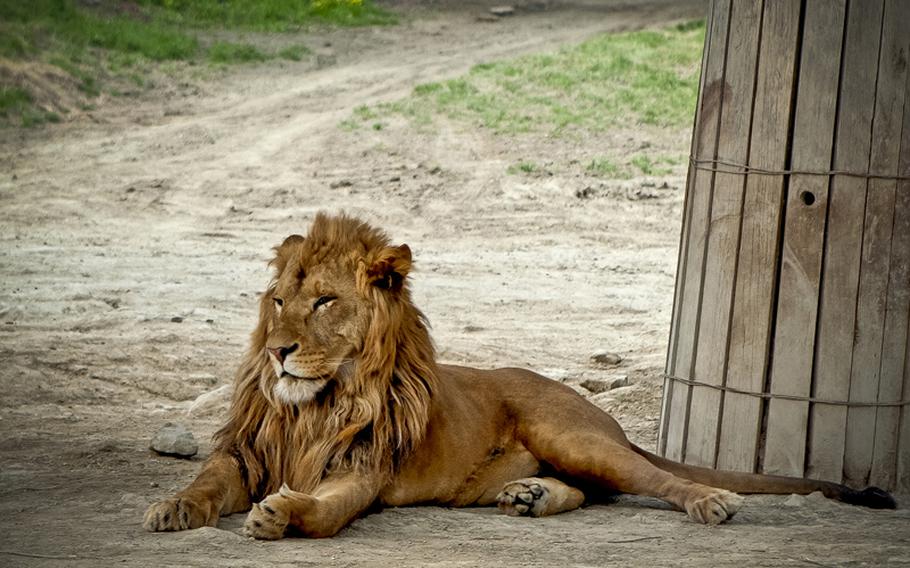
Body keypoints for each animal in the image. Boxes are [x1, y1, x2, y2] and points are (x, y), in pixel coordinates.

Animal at [144, 212, 896, 536]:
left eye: (325, 301)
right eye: (278, 302)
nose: (278, 352)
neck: (316, 404)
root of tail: (601, 414)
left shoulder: (363, 471)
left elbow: (327, 512)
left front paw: (285, 512)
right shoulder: (244, 453)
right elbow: (205, 481)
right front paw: (173, 506)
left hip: (573, 436)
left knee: (652, 480)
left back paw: (710, 501)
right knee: (593, 493)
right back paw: (531, 497)